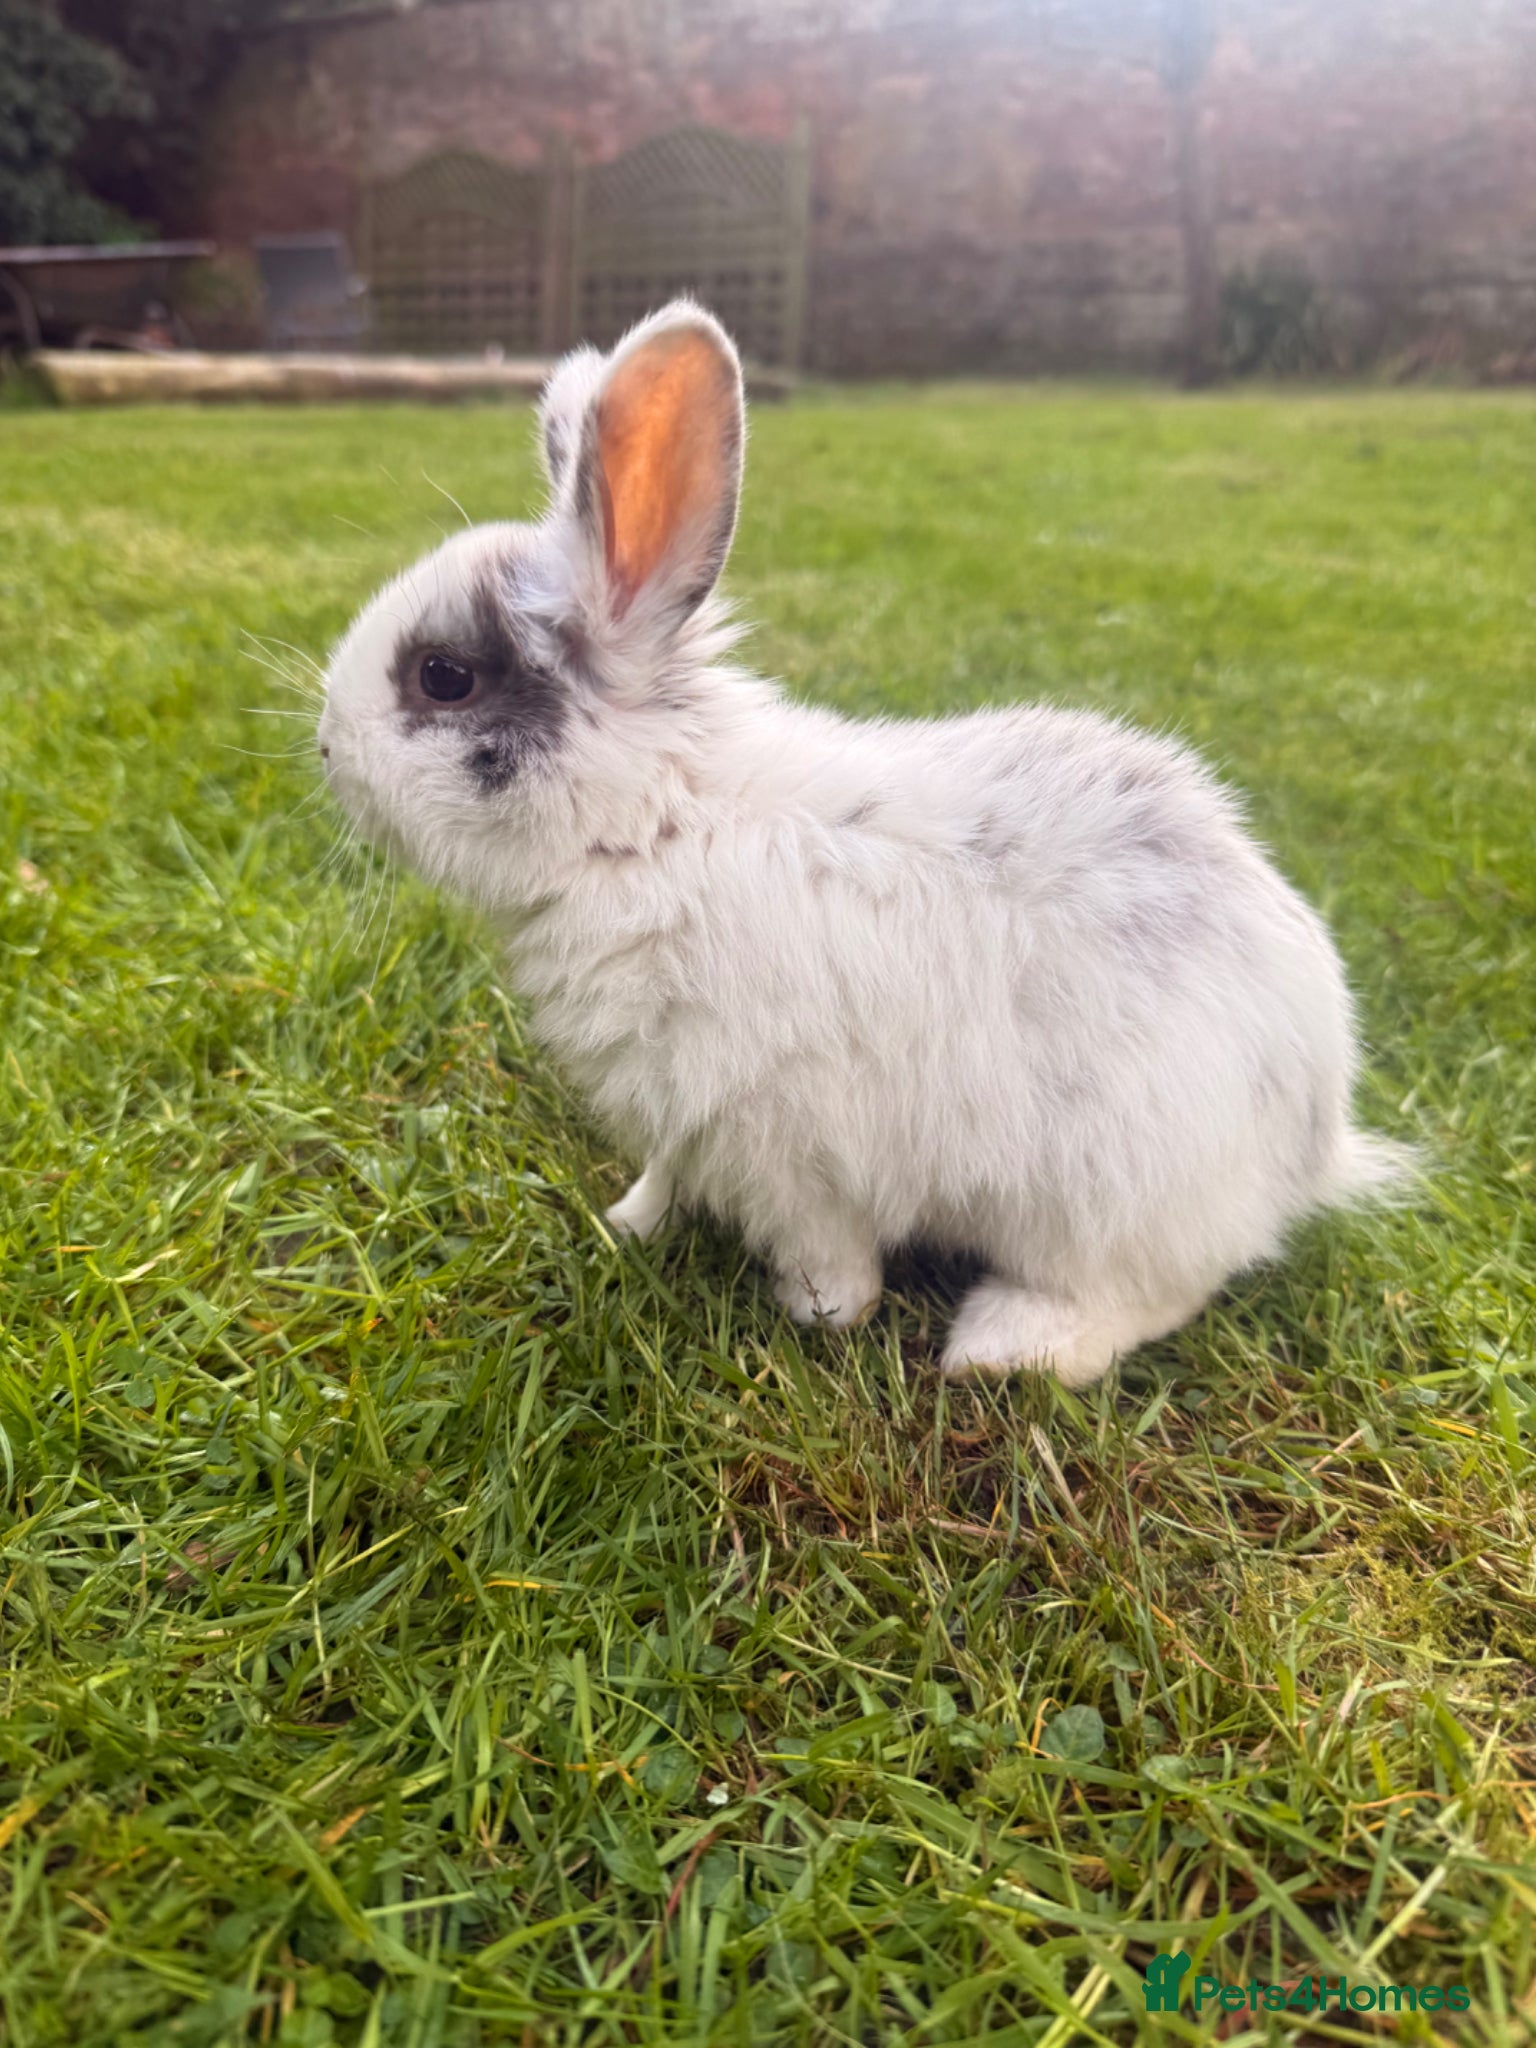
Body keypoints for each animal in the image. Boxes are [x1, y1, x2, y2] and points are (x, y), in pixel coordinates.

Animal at [317, 298, 1405, 1387]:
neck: (652, 826)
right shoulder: (686, 1121)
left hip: (1109, 1194)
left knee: (1147, 1293)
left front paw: (817, 1311)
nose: (326, 747)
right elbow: (664, 1177)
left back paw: (1001, 1344)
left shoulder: (785, 1143)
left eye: (443, 676)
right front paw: (628, 1223)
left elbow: (825, 1245)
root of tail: (1313, 1136)